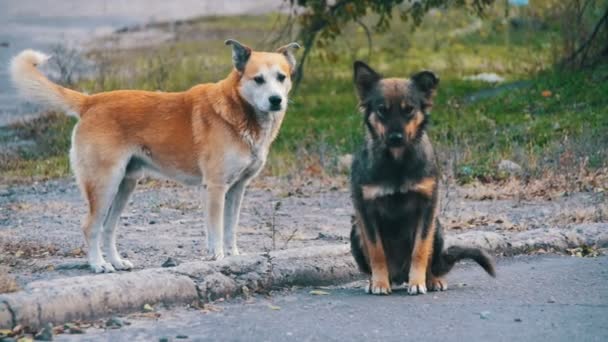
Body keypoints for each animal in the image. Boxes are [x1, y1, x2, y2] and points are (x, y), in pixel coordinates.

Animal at [10, 39, 300, 272]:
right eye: (258, 79)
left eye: (281, 77)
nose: (276, 100)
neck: (239, 111)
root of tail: (90, 102)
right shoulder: (215, 188)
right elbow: (216, 230)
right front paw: (218, 258)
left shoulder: (237, 189)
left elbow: (230, 229)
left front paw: (234, 256)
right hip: (104, 185)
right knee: (90, 226)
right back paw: (98, 265)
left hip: (125, 186)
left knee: (108, 227)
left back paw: (116, 262)